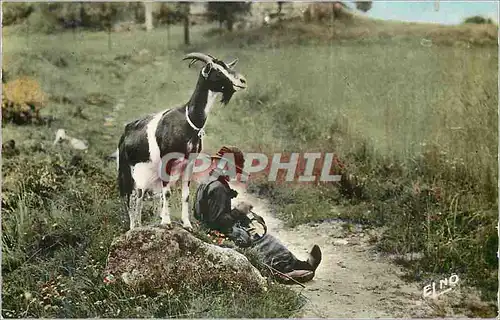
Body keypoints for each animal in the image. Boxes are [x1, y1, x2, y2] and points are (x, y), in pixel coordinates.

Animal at [117, 53, 250, 232]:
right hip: (131, 171)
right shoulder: (167, 161)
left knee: (138, 196)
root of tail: (125, 133)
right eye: (217, 71)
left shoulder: (189, 163)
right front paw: (166, 222)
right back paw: (133, 227)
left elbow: (185, 194)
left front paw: (187, 224)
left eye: (228, 67)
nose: (242, 81)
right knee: (131, 196)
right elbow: (166, 193)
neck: (189, 121)